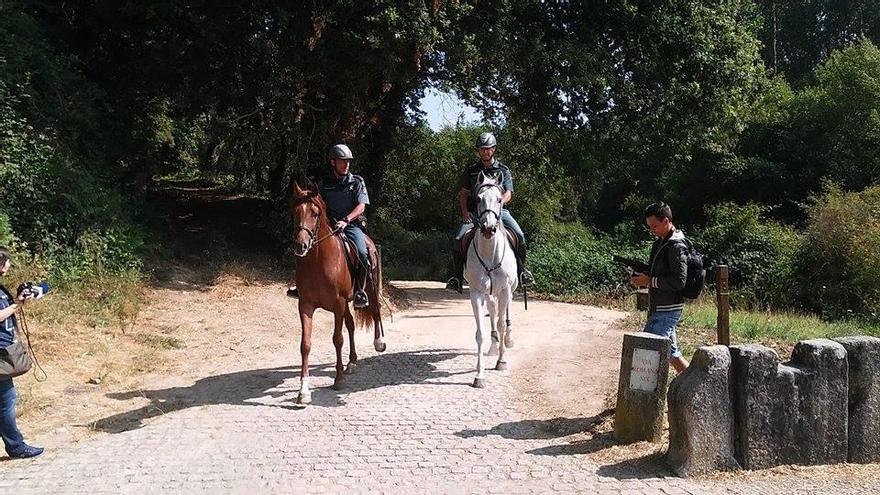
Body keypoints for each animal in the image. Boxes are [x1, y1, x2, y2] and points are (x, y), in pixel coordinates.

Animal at [290, 184, 384, 404]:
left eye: (315, 214)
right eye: (295, 212)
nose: (301, 245)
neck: (318, 262)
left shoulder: (338, 304)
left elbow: (337, 339)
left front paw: (338, 379)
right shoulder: (305, 305)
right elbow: (305, 344)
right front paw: (303, 391)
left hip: (369, 290)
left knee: (376, 311)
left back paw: (378, 343)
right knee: (351, 324)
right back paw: (352, 362)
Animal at [464, 172, 520, 390]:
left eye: (499, 199)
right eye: (478, 199)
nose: (488, 229)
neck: (489, 254)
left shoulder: (504, 290)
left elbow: (503, 323)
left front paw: (501, 362)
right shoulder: (477, 293)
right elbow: (480, 332)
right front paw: (479, 375)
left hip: (509, 290)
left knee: (505, 315)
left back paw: (508, 340)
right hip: (489, 294)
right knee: (494, 312)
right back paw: (494, 345)